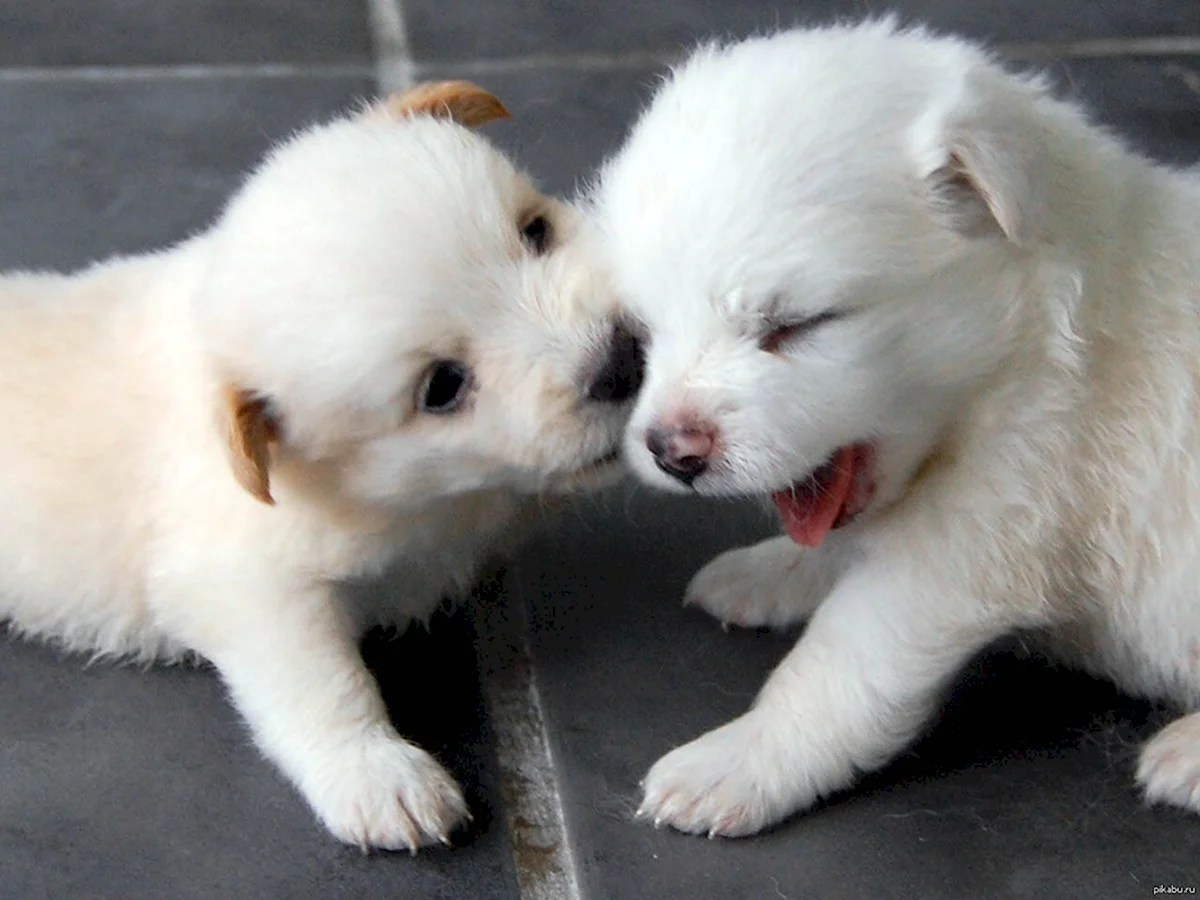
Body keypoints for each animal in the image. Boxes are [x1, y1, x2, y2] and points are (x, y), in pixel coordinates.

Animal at [2, 82, 648, 854]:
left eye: (536, 232)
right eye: (443, 386)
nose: (622, 362)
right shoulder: (247, 587)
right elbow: (322, 682)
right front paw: (378, 774)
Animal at [595, 19, 1200, 840]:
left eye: (797, 325)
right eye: (645, 333)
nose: (670, 451)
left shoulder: (974, 538)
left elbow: (839, 664)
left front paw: (737, 761)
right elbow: (835, 548)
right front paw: (769, 572)